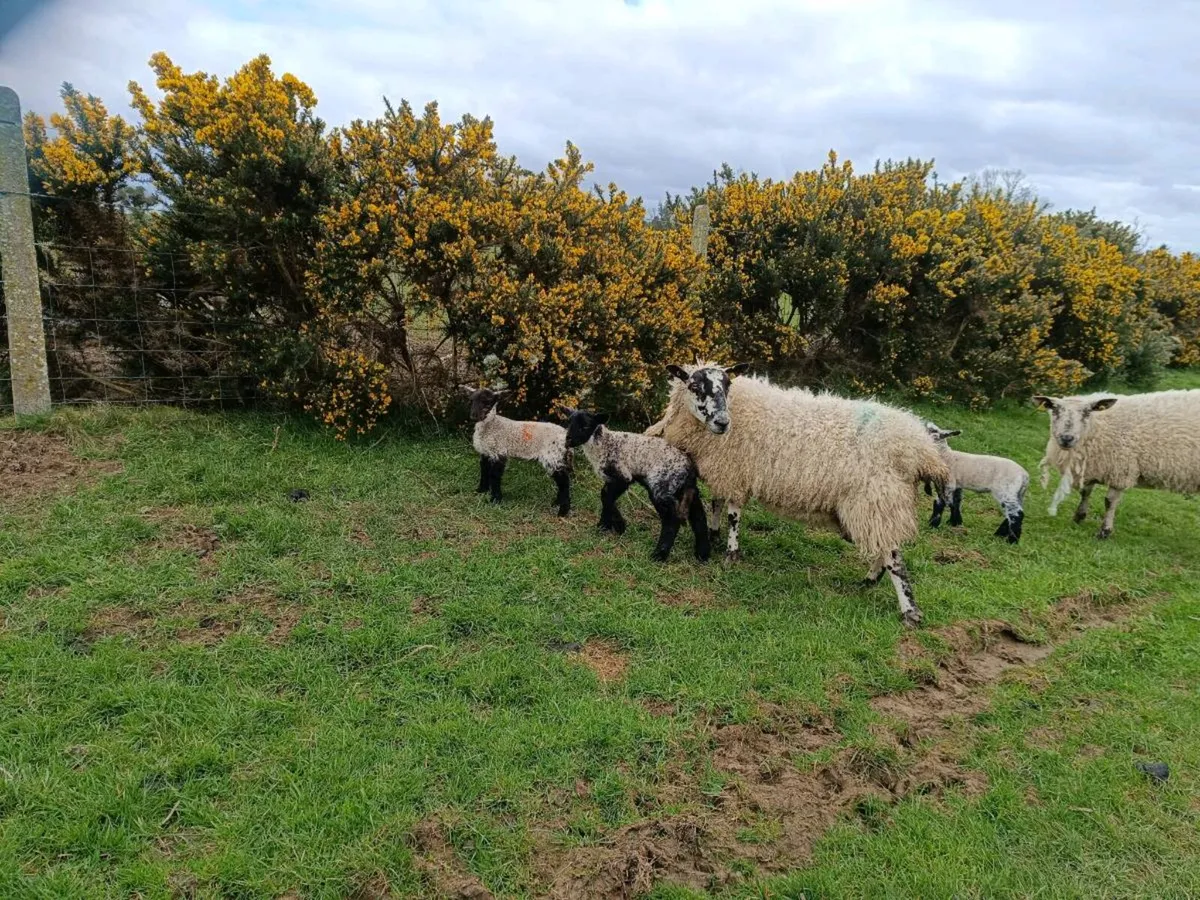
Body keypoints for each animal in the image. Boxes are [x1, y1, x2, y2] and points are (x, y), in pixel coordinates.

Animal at [459, 386, 571, 516]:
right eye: (471, 401)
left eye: (487, 402)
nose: (474, 416)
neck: (491, 425)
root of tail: (565, 434)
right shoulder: (485, 452)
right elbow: (484, 471)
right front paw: (481, 490)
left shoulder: (499, 452)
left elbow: (494, 476)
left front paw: (495, 499)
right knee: (561, 481)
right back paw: (557, 503)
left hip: (552, 456)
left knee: (564, 481)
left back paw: (563, 510)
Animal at [565, 409, 711, 562]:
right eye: (568, 422)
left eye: (585, 426)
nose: (568, 441)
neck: (603, 444)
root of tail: (689, 469)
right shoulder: (612, 480)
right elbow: (606, 497)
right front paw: (613, 525)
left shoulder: (623, 476)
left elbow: (605, 496)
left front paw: (611, 525)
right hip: (684, 489)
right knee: (699, 516)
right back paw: (702, 554)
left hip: (661, 486)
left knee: (672, 519)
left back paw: (659, 555)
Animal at [649, 360, 950, 627]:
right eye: (694, 386)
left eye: (727, 385)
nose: (722, 423)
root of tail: (921, 450)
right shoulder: (727, 468)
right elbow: (716, 502)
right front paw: (714, 533)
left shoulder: (737, 470)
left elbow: (733, 514)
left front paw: (731, 554)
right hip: (878, 504)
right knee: (883, 546)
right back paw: (870, 580)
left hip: (877, 497)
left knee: (894, 559)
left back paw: (909, 611)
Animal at [1034, 389, 1200, 539]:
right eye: (1055, 410)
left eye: (1087, 413)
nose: (1067, 438)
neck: (1098, 426)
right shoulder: (1093, 466)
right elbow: (1085, 493)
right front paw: (1079, 517)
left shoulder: (1121, 469)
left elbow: (1109, 502)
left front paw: (1104, 531)